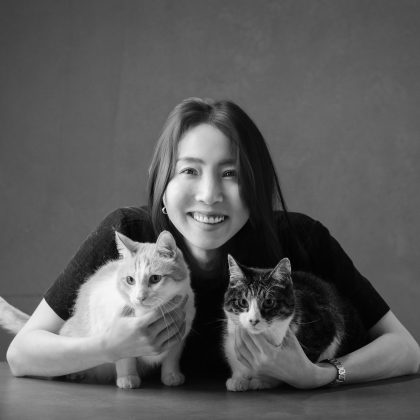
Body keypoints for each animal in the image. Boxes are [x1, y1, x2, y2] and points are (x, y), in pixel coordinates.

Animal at [0, 230, 195, 389]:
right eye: (130, 280)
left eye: (155, 278)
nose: (140, 297)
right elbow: (124, 358)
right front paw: (128, 378)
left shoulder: (181, 335)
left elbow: (172, 357)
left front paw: (171, 375)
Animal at [223, 255, 367, 391]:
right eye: (243, 302)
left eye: (269, 302)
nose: (253, 320)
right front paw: (238, 379)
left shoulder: (326, 328)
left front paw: (264, 380)